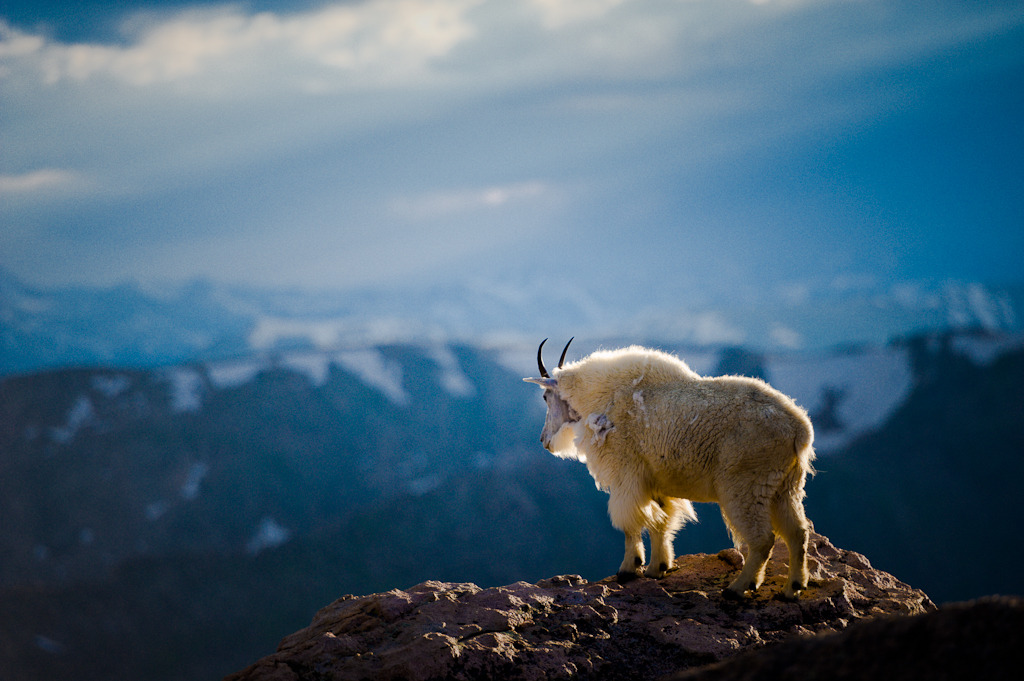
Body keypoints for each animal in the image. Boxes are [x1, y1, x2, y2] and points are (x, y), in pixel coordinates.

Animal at [528, 339, 815, 602]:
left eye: (545, 397)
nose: (544, 441)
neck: (600, 396)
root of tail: (799, 429)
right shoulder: (656, 481)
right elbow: (661, 522)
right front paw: (658, 568)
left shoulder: (626, 474)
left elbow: (630, 523)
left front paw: (628, 569)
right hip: (784, 486)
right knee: (797, 533)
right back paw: (792, 589)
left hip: (746, 485)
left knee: (763, 539)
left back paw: (738, 587)